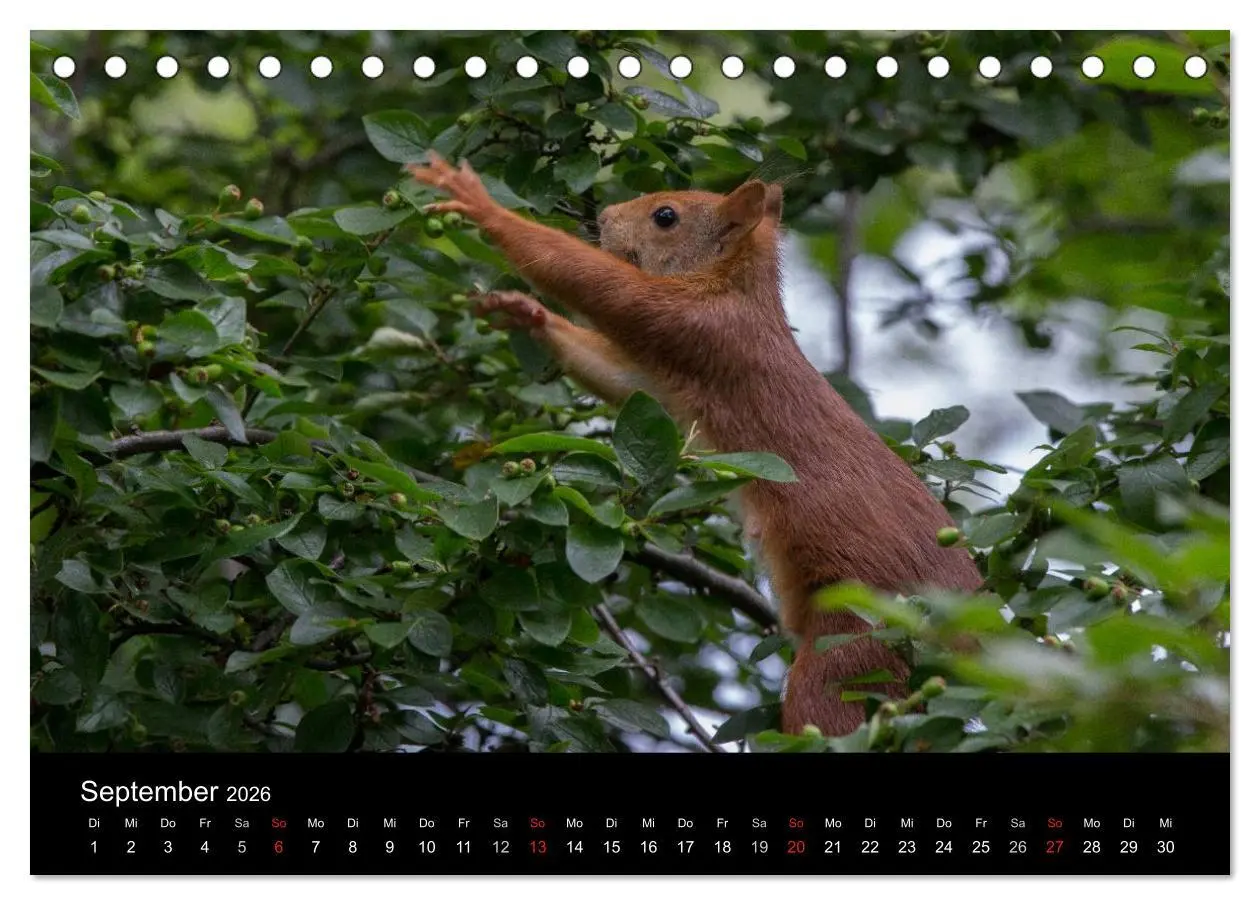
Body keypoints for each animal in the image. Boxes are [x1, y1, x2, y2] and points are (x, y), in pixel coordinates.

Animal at [409, 153, 983, 738]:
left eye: (666, 216)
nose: (607, 215)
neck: (734, 284)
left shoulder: (698, 326)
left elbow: (603, 287)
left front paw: (477, 201)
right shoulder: (667, 376)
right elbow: (624, 380)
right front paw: (525, 311)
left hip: (858, 645)